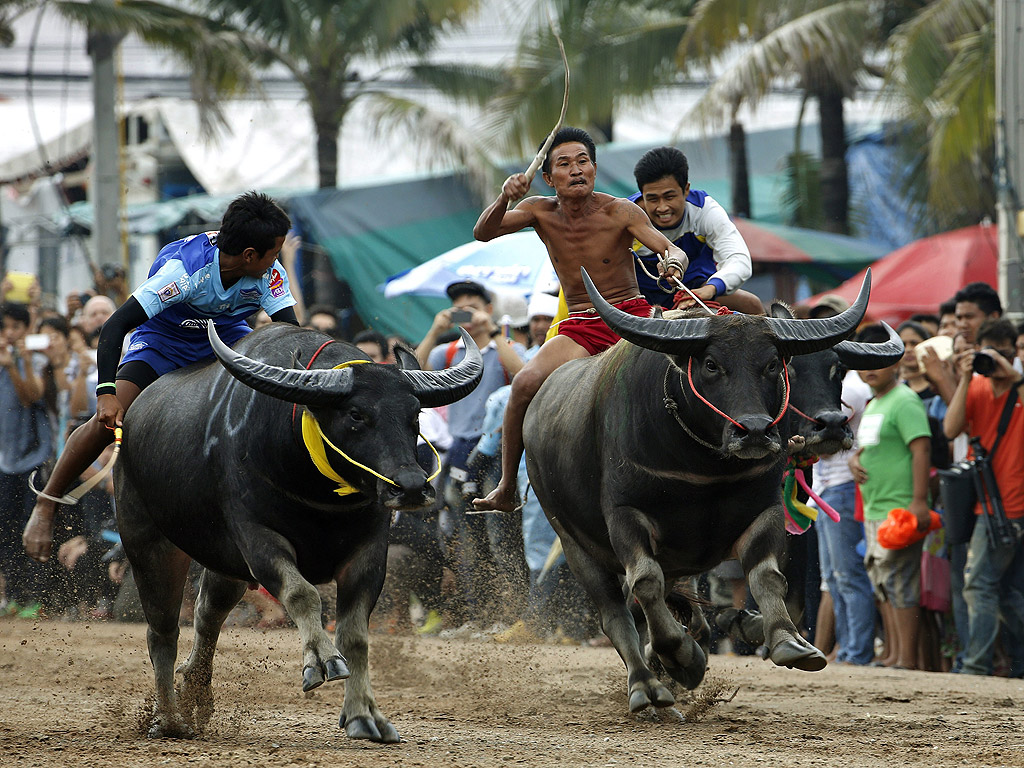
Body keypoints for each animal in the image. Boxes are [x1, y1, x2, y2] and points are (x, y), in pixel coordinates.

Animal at [114, 321, 481, 741]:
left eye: (414, 414)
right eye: (356, 414)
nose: (412, 487)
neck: (318, 489)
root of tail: (129, 421)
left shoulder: (369, 553)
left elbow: (355, 636)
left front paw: (364, 714)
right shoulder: (258, 541)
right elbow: (303, 595)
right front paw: (322, 661)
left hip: (226, 564)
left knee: (208, 613)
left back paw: (195, 695)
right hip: (147, 542)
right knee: (162, 631)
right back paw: (169, 718)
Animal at [524, 270, 892, 716]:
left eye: (772, 364)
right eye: (712, 365)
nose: (754, 431)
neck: (705, 464)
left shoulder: (764, 510)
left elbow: (767, 576)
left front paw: (785, 640)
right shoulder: (625, 516)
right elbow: (646, 584)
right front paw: (680, 656)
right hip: (573, 542)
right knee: (616, 612)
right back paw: (647, 685)